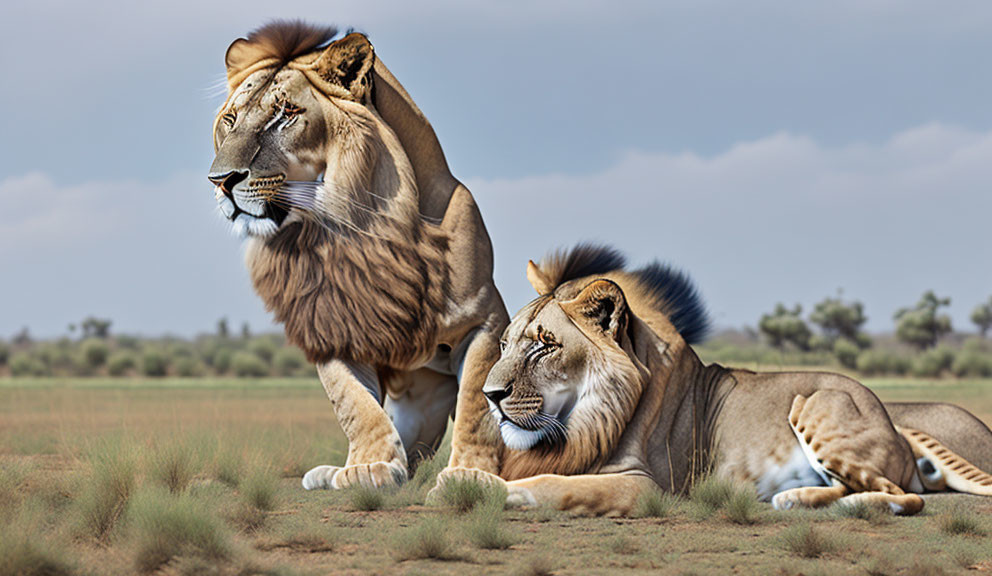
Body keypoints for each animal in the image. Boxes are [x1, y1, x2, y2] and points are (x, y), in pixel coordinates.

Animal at [207, 23, 504, 490]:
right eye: (231, 120)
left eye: (285, 113)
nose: (220, 180)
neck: (354, 228)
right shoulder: (330, 327)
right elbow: (353, 404)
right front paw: (368, 468)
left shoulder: (484, 320)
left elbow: (477, 399)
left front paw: (469, 476)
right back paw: (328, 472)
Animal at [438, 245, 992, 516]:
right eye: (505, 344)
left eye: (545, 345)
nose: (490, 395)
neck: (581, 421)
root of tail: (893, 426)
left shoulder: (647, 487)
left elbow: (551, 484)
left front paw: (467, 482)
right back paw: (794, 499)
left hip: (818, 405)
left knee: (906, 497)